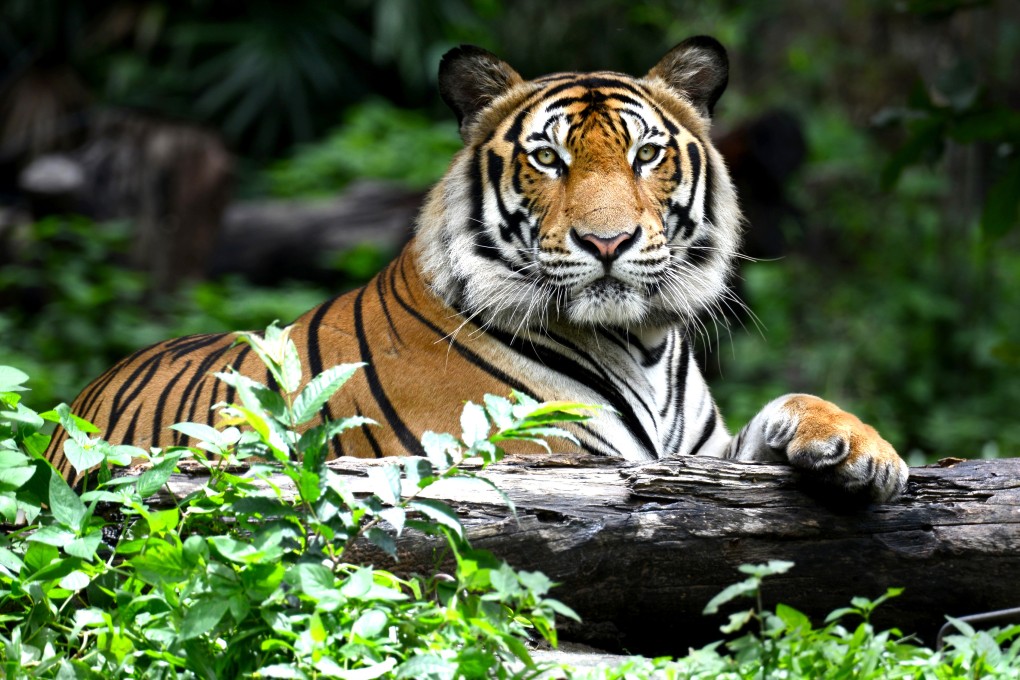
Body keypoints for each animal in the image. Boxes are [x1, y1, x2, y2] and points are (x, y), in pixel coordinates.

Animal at [45, 37, 908, 502]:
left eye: (646, 155)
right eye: (549, 159)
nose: (608, 242)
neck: (641, 342)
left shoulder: (700, 456)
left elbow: (789, 407)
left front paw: (862, 450)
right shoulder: (542, 460)